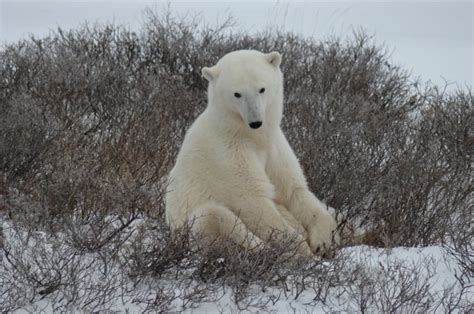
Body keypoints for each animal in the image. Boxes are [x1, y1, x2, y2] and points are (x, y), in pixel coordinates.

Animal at [165, 49, 338, 255]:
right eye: (237, 94)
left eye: (262, 89)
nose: (256, 122)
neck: (249, 135)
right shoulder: (228, 153)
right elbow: (253, 201)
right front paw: (301, 251)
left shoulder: (274, 147)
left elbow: (293, 190)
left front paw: (323, 240)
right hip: (188, 227)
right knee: (214, 216)